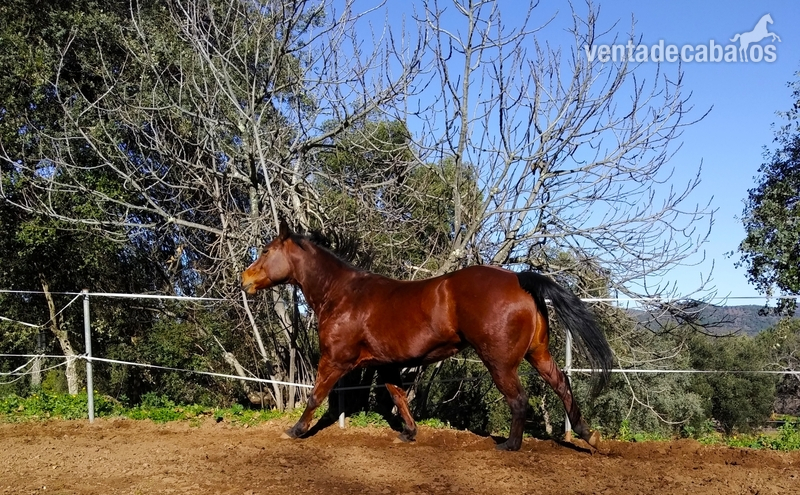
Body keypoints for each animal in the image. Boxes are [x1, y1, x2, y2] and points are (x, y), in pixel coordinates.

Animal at [241, 220, 613, 451]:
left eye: (266, 250)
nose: (244, 279)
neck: (342, 295)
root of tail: (519, 279)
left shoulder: (334, 360)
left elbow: (315, 396)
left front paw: (295, 430)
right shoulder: (386, 364)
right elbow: (398, 397)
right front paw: (409, 434)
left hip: (500, 362)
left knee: (519, 399)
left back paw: (510, 445)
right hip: (538, 353)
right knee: (562, 384)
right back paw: (590, 437)